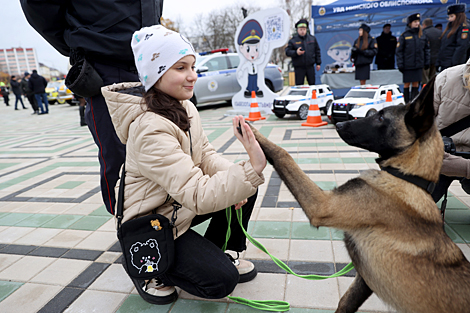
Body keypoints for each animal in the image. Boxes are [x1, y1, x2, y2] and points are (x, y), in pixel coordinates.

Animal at [248, 78, 470, 312]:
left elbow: (283, 153)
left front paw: (251, 132)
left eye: (381, 117)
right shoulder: (365, 280)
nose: (338, 124)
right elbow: (345, 302)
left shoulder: (322, 205)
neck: (408, 178)